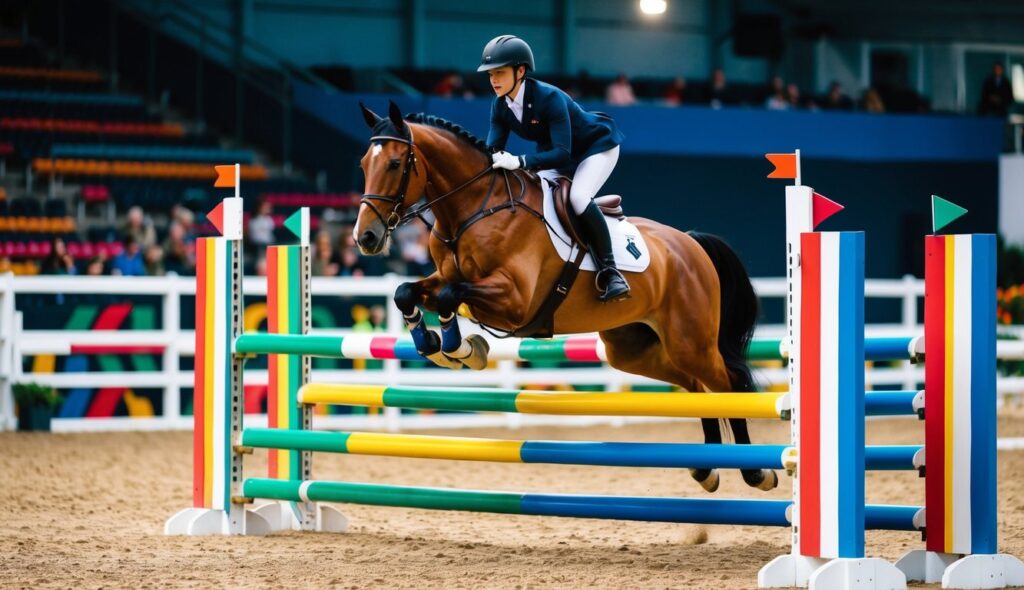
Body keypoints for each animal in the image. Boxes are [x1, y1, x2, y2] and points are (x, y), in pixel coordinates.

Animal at [352, 101, 774, 493]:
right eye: (363, 164)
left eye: (394, 163)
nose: (366, 238)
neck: (473, 209)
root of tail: (689, 243)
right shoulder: (448, 278)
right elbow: (407, 292)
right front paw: (435, 344)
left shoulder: (514, 301)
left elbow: (449, 297)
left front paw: (460, 348)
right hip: (633, 348)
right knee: (695, 387)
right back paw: (707, 470)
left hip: (691, 339)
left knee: (728, 383)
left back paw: (757, 473)